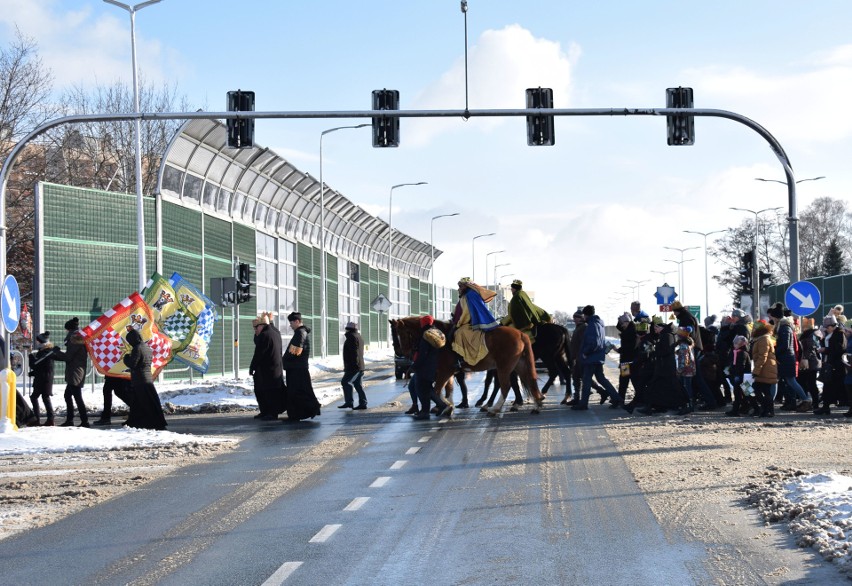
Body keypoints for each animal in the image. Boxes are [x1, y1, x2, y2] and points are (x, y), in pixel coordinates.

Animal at [390, 314, 544, 416]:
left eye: (400, 334)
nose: (400, 352)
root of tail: (520, 334)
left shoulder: (445, 371)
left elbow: (438, 390)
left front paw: (446, 407)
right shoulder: (448, 372)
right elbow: (448, 389)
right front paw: (448, 405)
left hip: (504, 367)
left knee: (506, 386)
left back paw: (494, 408)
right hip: (519, 365)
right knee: (530, 381)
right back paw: (537, 404)